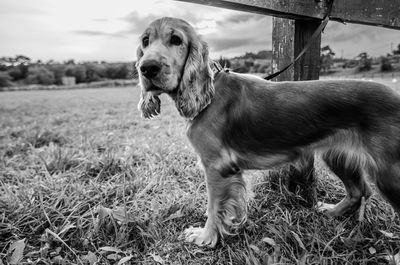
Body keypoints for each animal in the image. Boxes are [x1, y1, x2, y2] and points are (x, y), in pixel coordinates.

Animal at [135, 17, 400, 246]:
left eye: (176, 39)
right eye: (145, 41)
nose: (147, 68)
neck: (209, 94)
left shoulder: (216, 167)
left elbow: (213, 207)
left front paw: (205, 237)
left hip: (389, 173)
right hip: (338, 155)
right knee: (359, 191)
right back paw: (332, 211)